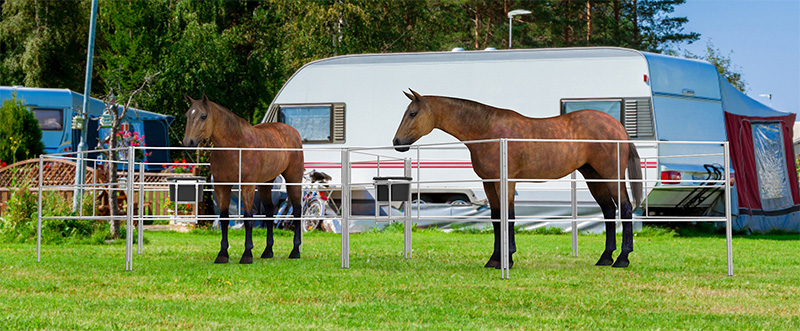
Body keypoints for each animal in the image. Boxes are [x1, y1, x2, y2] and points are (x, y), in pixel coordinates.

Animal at [183, 93, 304, 264]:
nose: (188, 143)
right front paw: (222, 254)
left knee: (298, 210)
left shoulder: (247, 185)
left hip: (293, 179)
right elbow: (224, 218)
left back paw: (295, 251)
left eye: (203, 115)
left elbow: (248, 217)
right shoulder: (222, 186)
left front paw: (247, 254)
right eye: (187, 115)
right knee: (269, 211)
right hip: (265, 184)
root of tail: (293, 132)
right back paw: (268, 251)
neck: (235, 147)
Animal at [394, 90, 644, 270]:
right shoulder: (489, 182)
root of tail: (617, 126)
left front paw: (508, 259)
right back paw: (605, 258)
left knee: (625, 208)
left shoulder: (506, 181)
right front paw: (494, 260)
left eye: (413, 113)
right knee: (609, 211)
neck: (487, 130)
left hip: (611, 176)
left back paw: (622, 259)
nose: (397, 142)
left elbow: (509, 217)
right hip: (594, 177)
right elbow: (496, 219)